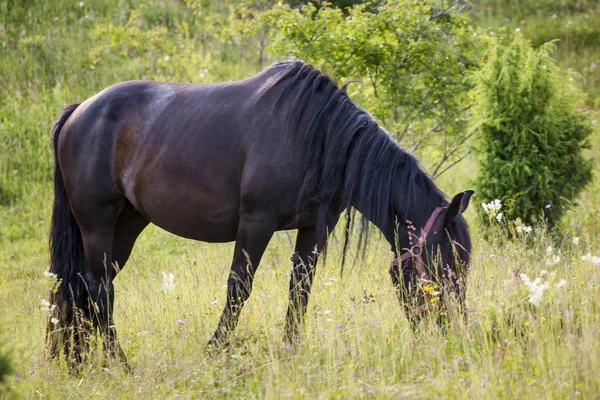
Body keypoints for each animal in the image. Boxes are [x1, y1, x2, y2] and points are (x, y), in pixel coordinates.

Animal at [47, 60, 474, 366]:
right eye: (445, 266)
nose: (454, 335)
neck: (316, 136)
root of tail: (79, 111)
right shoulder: (257, 222)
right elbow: (239, 288)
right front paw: (215, 350)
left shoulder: (315, 226)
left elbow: (300, 288)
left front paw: (291, 349)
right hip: (97, 221)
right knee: (98, 287)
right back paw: (119, 363)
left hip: (128, 223)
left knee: (84, 285)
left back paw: (81, 362)